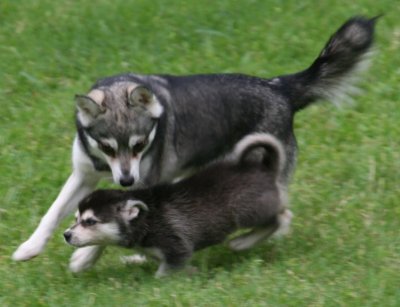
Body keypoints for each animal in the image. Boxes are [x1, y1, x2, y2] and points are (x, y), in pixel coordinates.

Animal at [64, 134, 292, 278]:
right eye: (76, 219)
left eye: (90, 221)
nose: (66, 235)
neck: (148, 219)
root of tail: (264, 169)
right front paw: (192, 273)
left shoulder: (177, 248)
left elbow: (162, 274)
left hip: (248, 211)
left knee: (281, 217)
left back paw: (242, 242)